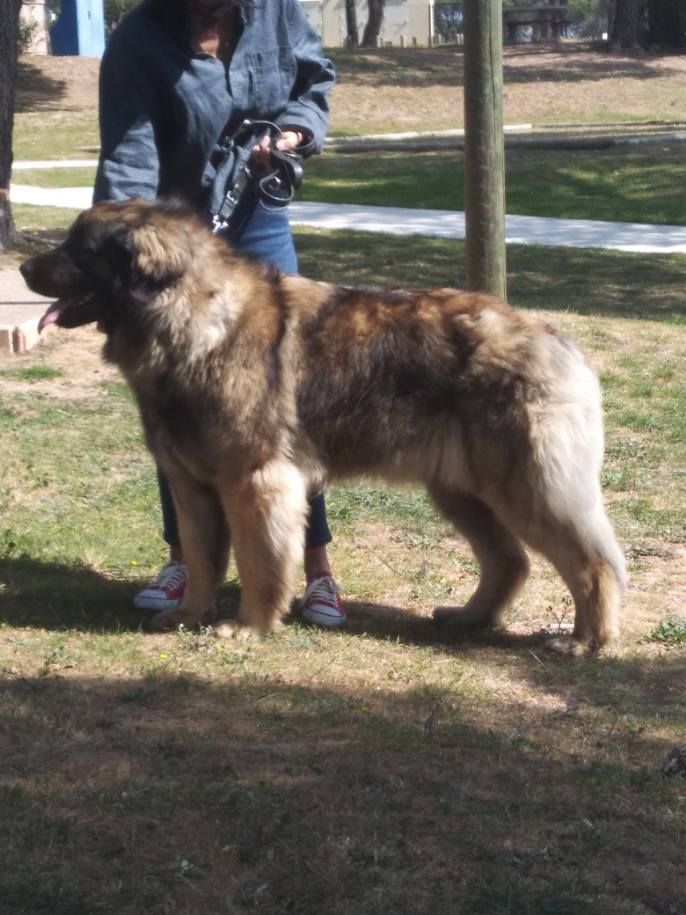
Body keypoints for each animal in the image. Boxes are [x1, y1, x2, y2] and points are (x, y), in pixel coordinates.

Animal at [21, 200, 628, 656]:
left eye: (81, 248)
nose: (25, 269)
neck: (192, 320)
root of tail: (555, 338)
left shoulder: (254, 482)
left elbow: (259, 560)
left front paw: (249, 625)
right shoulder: (192, 487)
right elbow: (198, 558)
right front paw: (189, 614)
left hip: (528, 486)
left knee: (590, 563)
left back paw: (585, 641)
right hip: (462, 489)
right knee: (510, 560)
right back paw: (469, 617)